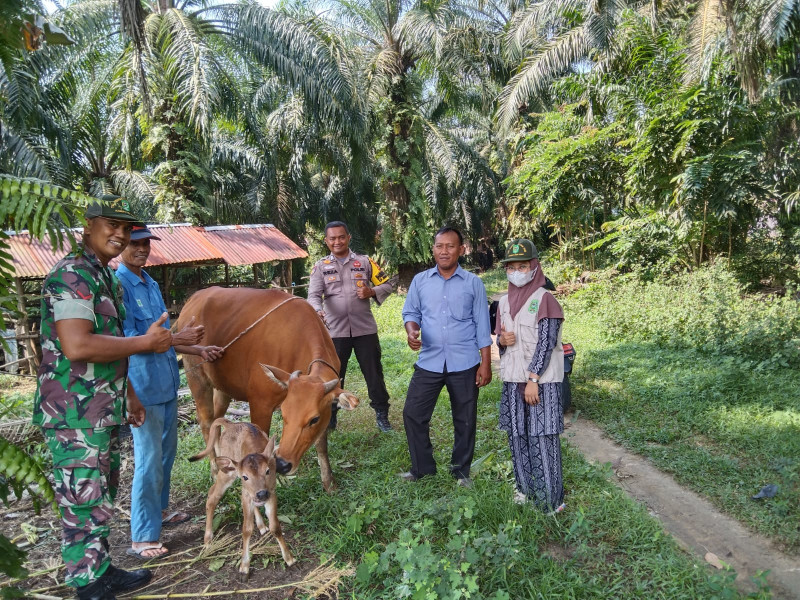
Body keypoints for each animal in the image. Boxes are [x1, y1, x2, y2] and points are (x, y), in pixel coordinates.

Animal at [180, 288, 360, 492]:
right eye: (284, 414)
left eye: (314, 419)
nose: (283, 464)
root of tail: (193, 299)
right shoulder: (260, 404)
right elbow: (260, 447)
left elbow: (321, 444)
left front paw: (329, 482)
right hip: (197, 378)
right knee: (205, 421)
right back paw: (214, 469)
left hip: (223, 388)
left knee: (217, 421)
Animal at [189, 418, 296, 576]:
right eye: (245, 476)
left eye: (267, 471)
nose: (261, 493)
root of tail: (230, 424)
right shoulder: (248, 493)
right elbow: (246, 529)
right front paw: (244, 565)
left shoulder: (271, 492)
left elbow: (275, 527)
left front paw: (289, 558)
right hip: (227, 473)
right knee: (212, 495)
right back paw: (208, 539)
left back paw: (261, 525)